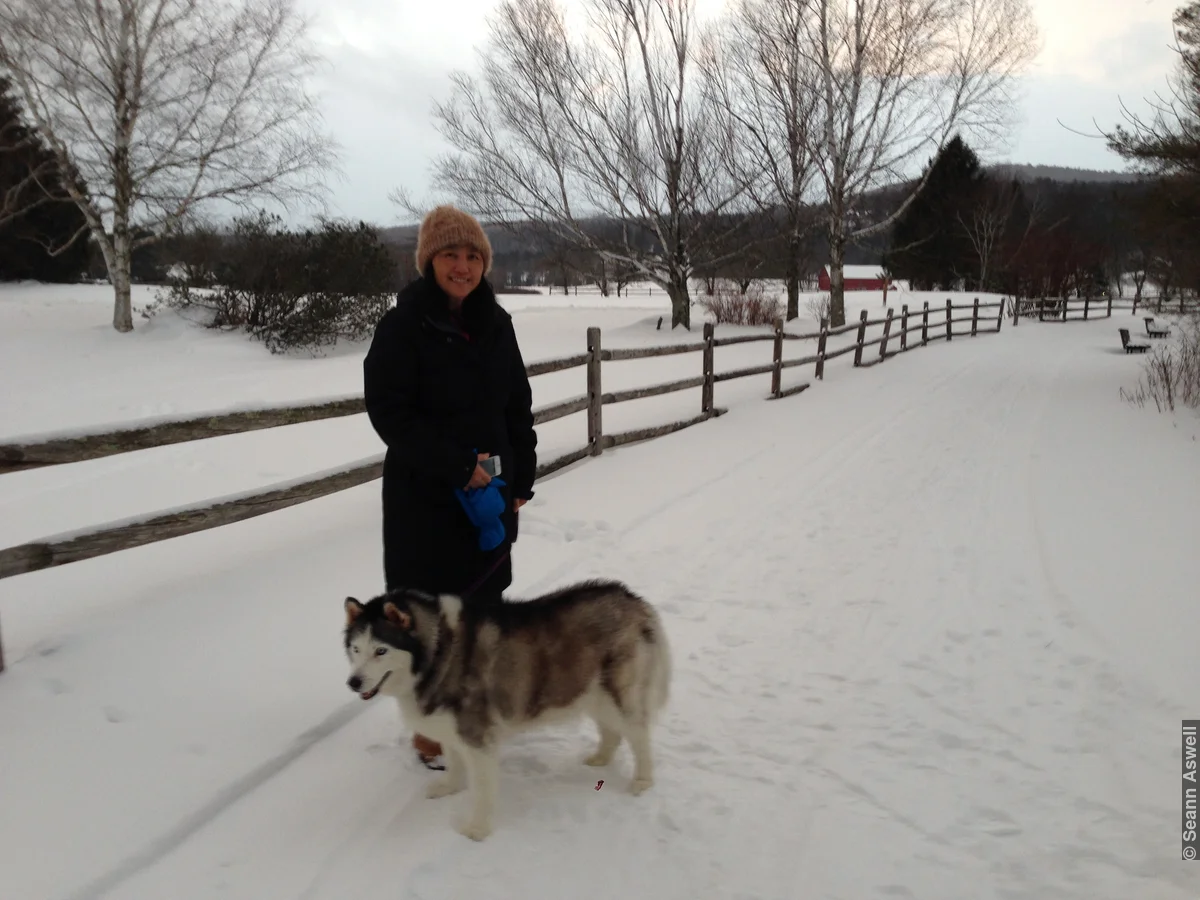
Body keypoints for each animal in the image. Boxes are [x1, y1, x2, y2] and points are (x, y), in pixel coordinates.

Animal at [343, 580, 672, 844]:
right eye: (356, 649)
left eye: (381, 650)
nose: (353, 682)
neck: (437, 653)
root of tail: (633, 599)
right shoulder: (451, 729)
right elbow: (453, 761)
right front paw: (449, 787)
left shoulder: (478, 738)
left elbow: (482, 789)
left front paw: (477, 829)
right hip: (588, 690)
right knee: (612, 730)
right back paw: (600, 758)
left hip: (618, 694)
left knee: (639, 735)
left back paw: (643, 780)